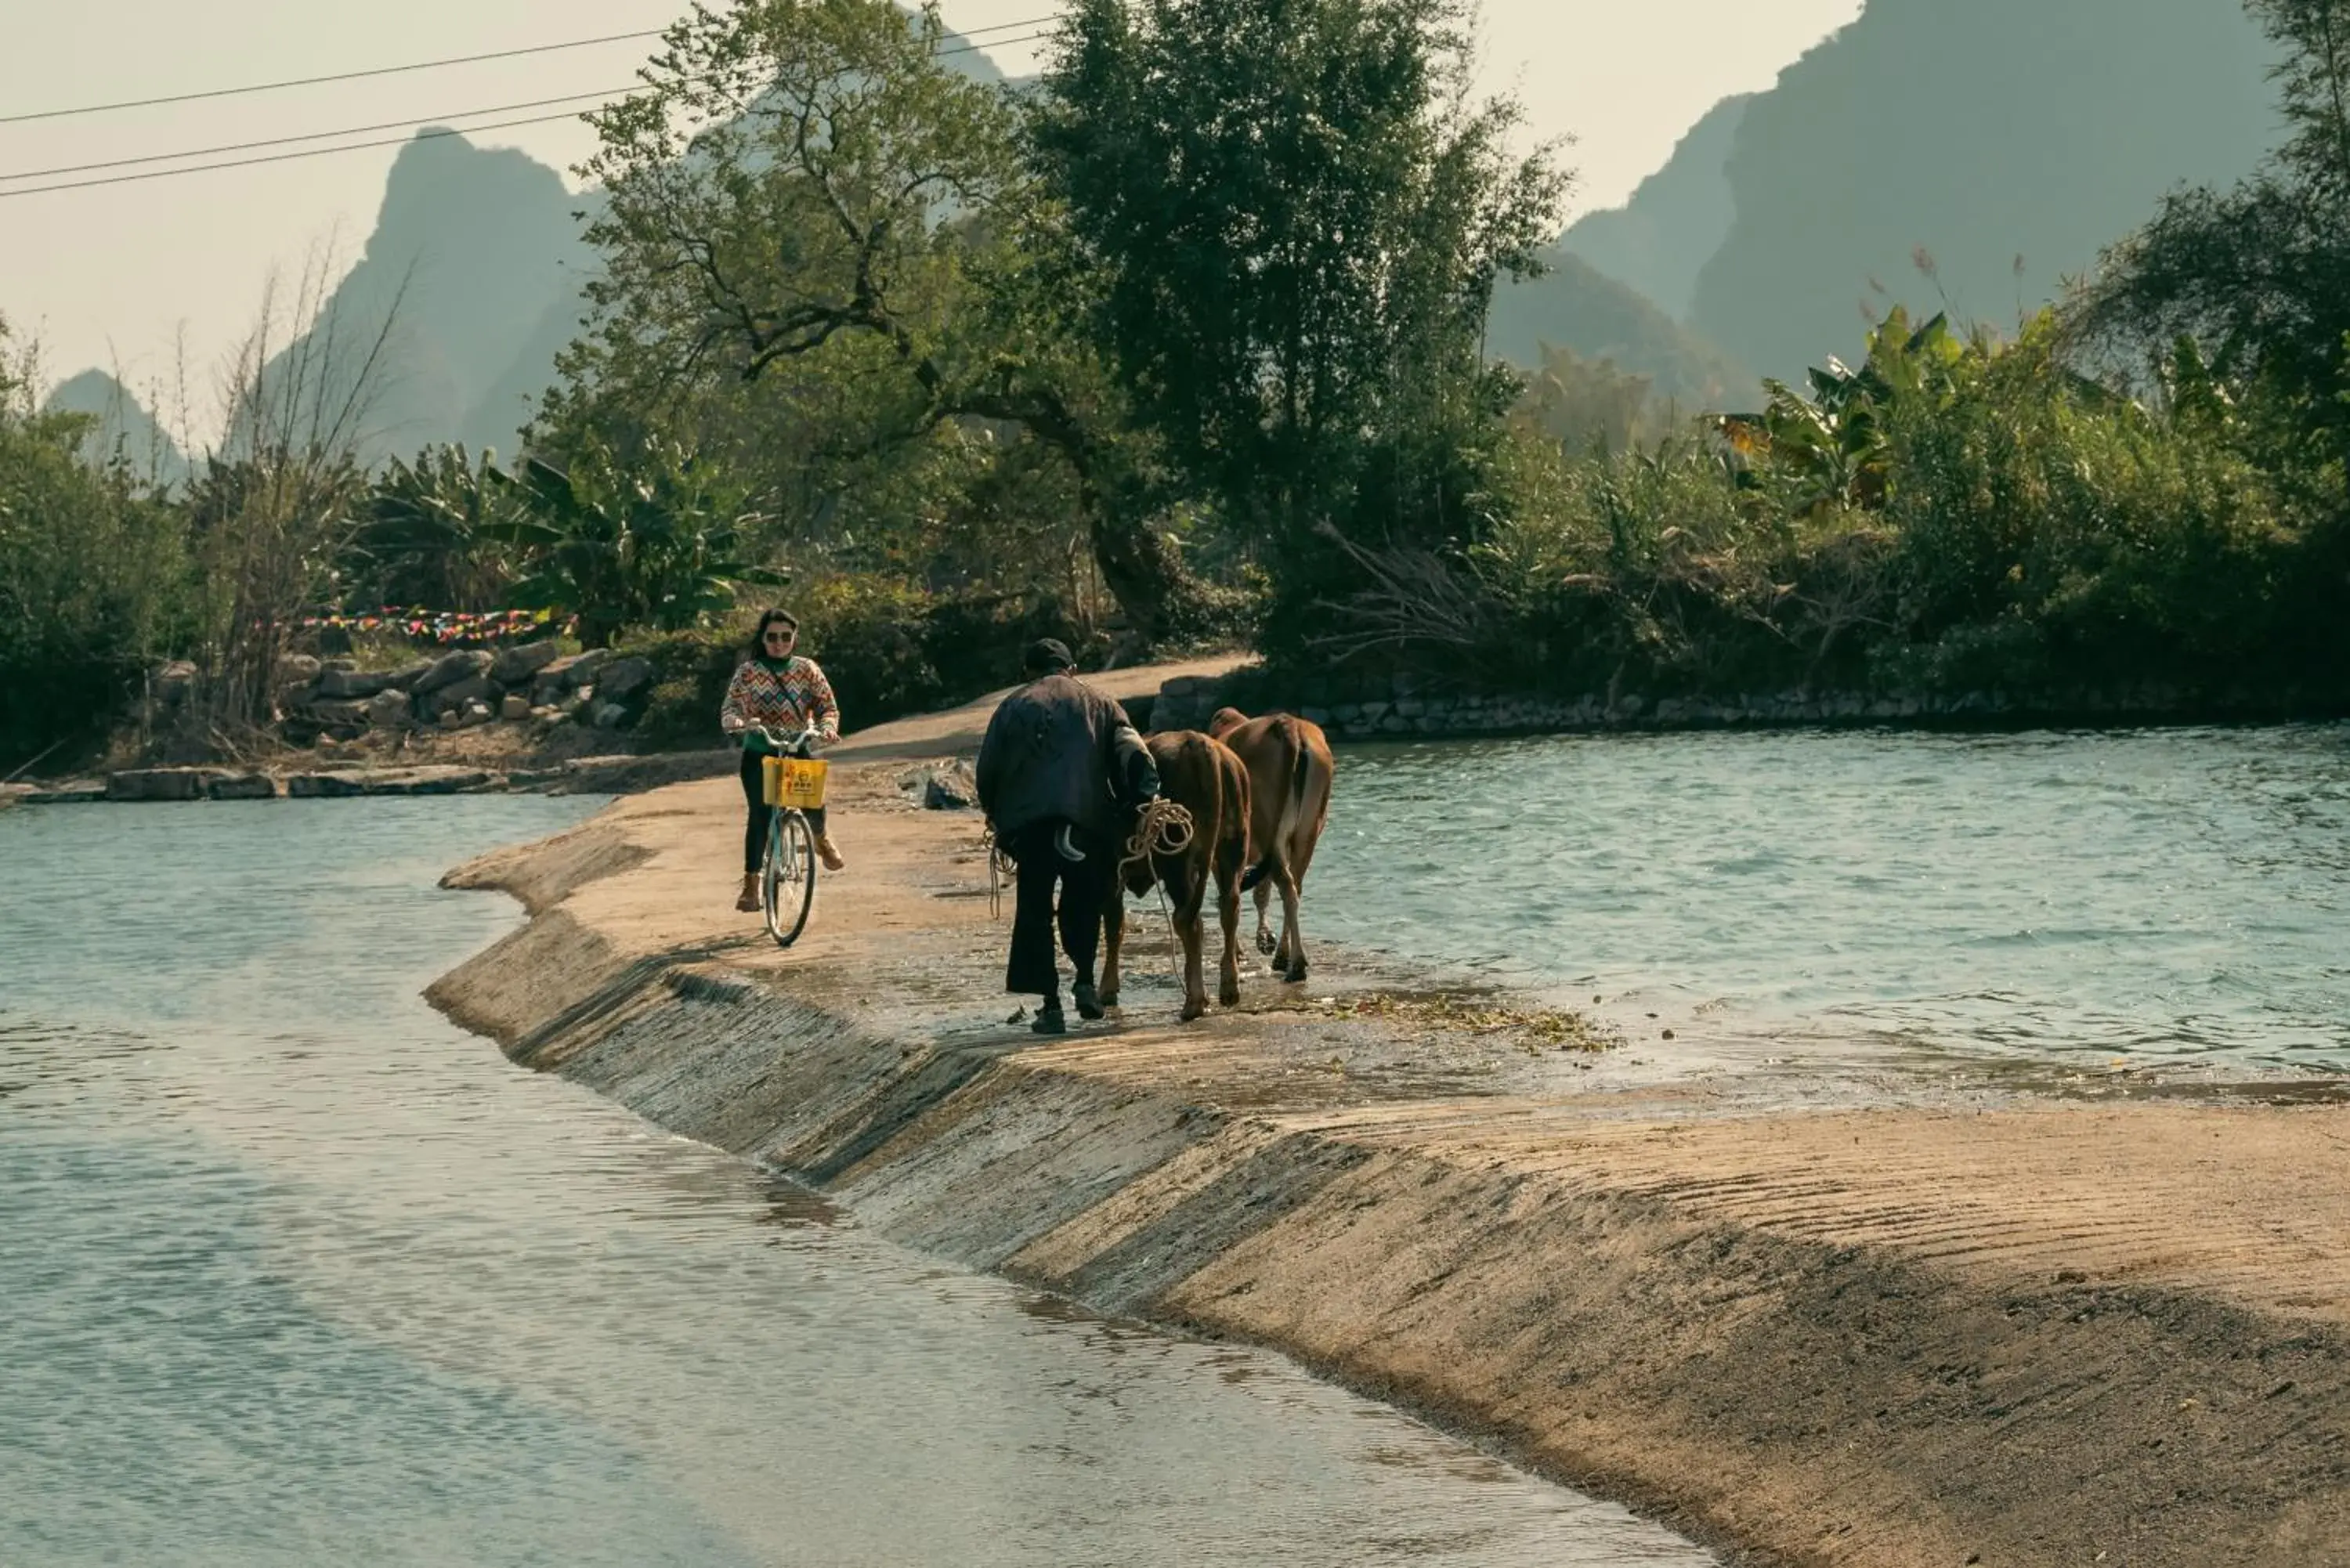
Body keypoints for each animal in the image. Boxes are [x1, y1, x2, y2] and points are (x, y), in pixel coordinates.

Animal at [1095, 728, 1250, 1024]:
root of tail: (1198, 744)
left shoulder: (1106, 873)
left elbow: (1113, 927)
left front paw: (1106, 989)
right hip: (1231, 850)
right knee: (1227, 909)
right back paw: (1228, 988)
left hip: (1177, 865)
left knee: (1188, 922)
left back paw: (1194, 1002)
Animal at [1203, 710, 1335, 982]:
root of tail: (1287, 724)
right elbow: (1261, 893)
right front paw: (1264, 939)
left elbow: (1229, 895)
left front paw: (1241, 951)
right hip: (1306, 832)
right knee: (1293, 888)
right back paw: (1287, 958)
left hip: (1270, 832)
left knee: (1284, 885)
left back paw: (1294, 964)